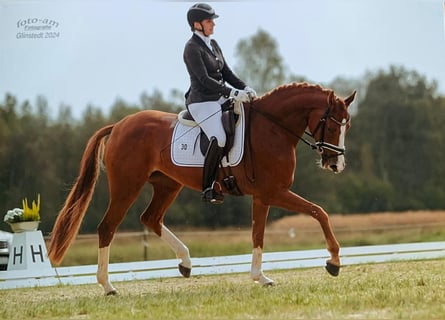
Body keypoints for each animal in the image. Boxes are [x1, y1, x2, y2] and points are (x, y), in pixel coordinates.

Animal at [47, 82, 354, 296]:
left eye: (347, 125)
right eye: (331, 125)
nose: (336, 164)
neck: (272, 129)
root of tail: (120, 124)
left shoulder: (262, 196)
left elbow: (258, 235)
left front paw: (260, 277)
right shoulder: (274, 192)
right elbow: (319, 212)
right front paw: (334, 261)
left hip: (167, 185)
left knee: (151, 218)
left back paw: (185, 262)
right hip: (127, 186)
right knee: (107, 228)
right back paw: (108, 286)